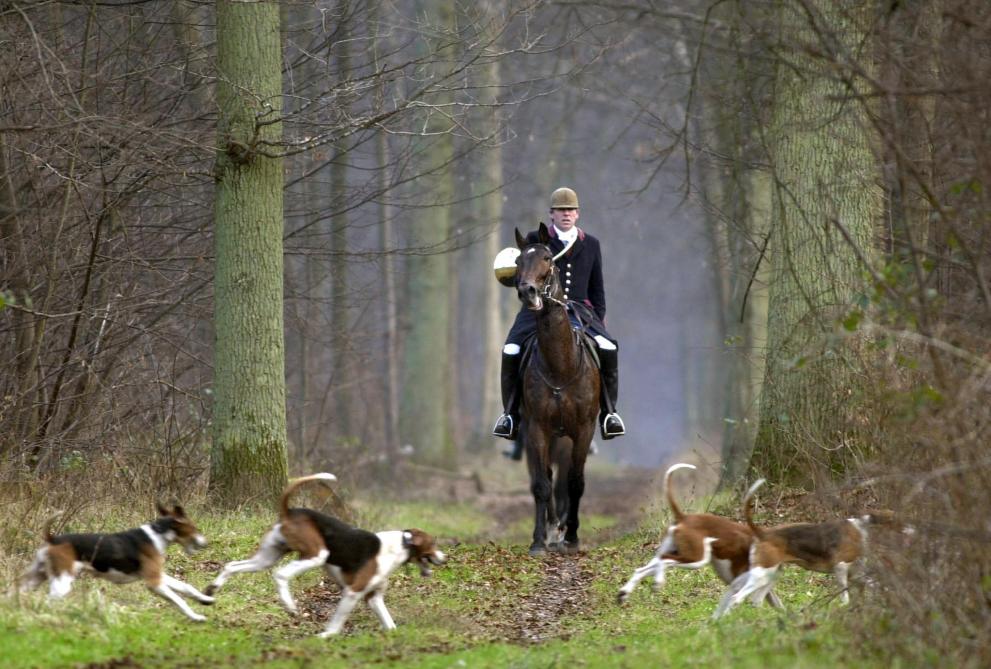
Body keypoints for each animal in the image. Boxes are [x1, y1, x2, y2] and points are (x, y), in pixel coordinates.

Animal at [516, 222, 600, 556]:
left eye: (547, 259)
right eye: (517, 261)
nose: (527, 291)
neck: (560, 366)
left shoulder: (582, 430)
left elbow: (574, 483)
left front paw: (572, 536)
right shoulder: (537, 429)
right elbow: (541, 484)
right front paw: (540, 539)